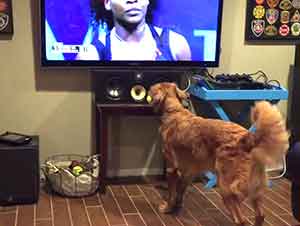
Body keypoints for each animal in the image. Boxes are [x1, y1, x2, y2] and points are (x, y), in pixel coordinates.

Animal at [147, 82, 288, 226]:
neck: (174, 110)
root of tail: (249, 139)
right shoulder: (189, 171)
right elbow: (180, 191)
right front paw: (177, 206)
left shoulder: (171, 168)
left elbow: (171, 193)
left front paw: (167, 208)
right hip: (255, 189)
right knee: (260, 215)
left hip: (226, 187)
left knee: (241, 220)